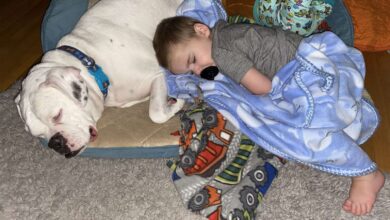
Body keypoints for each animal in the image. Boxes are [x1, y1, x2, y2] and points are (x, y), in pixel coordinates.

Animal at [14, 0, 184, 158]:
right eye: (40, 135)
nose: (55, 143)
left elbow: (156, 114)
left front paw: (177, 103)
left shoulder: (158, 73)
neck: (91, 62)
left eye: (57, 115)